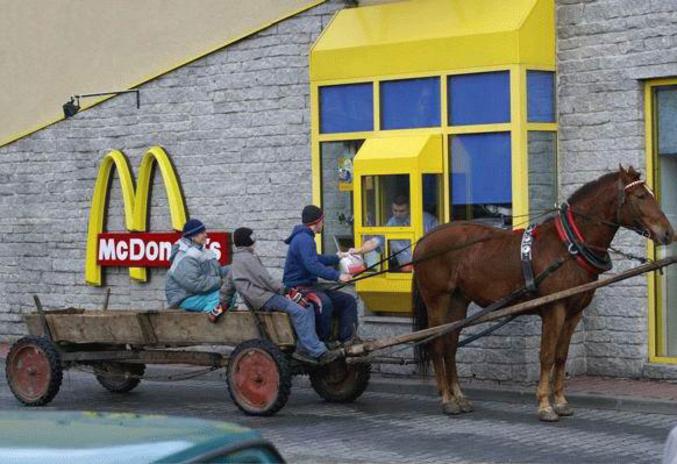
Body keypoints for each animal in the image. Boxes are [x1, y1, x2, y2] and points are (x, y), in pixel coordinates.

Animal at [412, 166, 672, 420]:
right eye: (641, 196)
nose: (669, 233)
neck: (568, 247)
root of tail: (425, 238)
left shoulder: (574, 312)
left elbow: (561, 356)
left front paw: (561, 402)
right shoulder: (554, 309)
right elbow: (546, 355)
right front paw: (545, 405)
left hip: (458, 300)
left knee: (450, 344)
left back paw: (459, 396)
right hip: (437, 299)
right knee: (436, 343)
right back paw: (447, 400)